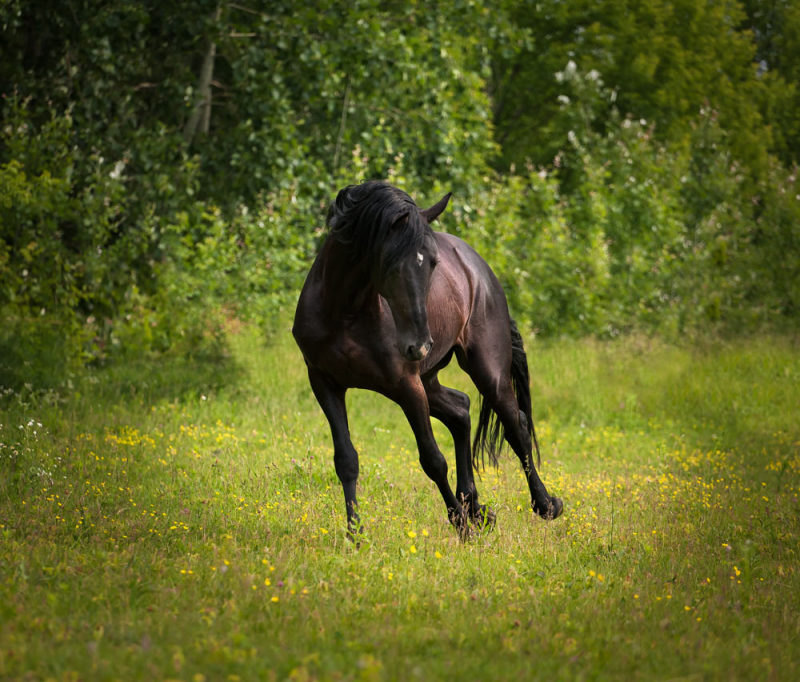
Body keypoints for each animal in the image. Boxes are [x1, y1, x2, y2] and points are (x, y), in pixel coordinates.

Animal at [294, 182, 564, 536]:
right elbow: (346, 460)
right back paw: (476, 506)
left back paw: (545, 504)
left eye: (433, 263)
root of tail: (479, 269)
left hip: (485, 371)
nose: (419, 345)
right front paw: (355, 534)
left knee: (515, 424)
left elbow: (433, 460)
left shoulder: (406, 385)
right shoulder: (325, 382)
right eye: (390, 262)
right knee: (461, 410)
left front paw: (461, 526)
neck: (345, 313)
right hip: (429, 379)